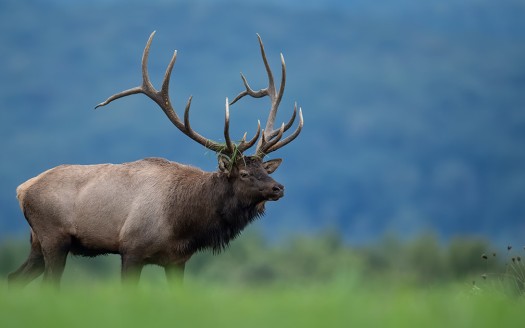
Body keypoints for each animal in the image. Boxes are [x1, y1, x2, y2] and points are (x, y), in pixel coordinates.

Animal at [7, 31, 302, 288]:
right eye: (243, 174)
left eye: (266, 169)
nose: (278, 188)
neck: (184, 224)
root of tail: (22, 189)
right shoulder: (131, 248)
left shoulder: (177, 260)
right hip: (53, 237)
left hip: (37, 243)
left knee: (13, 278)